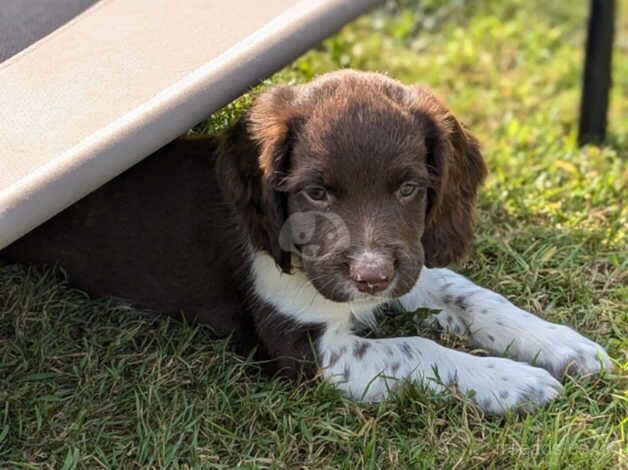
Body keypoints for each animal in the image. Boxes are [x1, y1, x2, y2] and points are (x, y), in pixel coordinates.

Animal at [2, 70, 612, 414]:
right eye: (315, 193)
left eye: (409, 189)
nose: (370, 277)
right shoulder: (309, 352)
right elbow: (415, 346)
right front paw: (513, 382)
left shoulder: (407, 262)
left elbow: (471, 295)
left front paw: (561, 344)